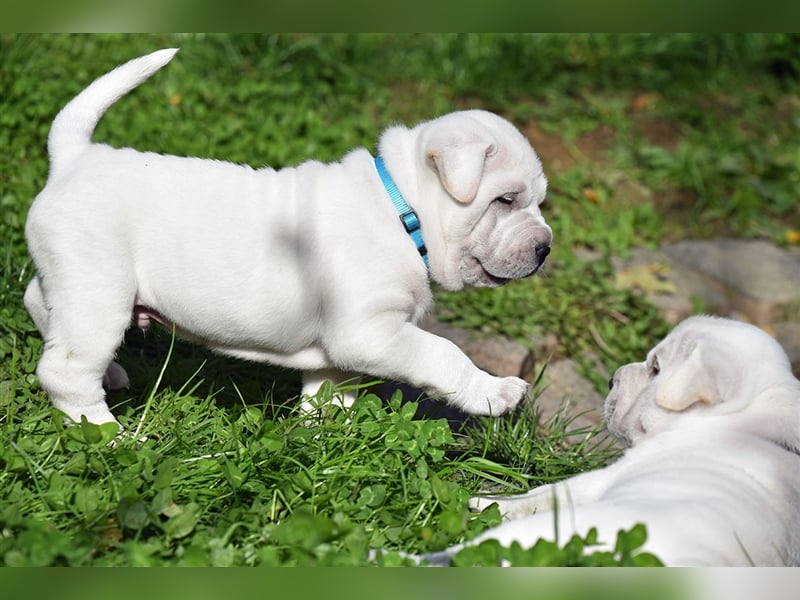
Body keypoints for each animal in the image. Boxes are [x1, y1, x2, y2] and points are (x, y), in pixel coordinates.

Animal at [23, 49, 552, 424]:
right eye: (505, 200)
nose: (545, 248)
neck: (403, 209)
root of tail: (74, 157)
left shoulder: (339, 349)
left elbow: (329, 393)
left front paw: (326, 439)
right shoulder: (370, 330)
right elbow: (442, 352)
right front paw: (495, 391)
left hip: (74, 284)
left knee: (39, 303)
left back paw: (109, 373)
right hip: (99, 289)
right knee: (65, 371)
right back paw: (111, 436)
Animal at [424, 316, 800, 564]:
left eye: (656, 369)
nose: (612, 379)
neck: (741, 423)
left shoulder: (601, 479)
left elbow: (539, 494)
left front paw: (482, 500)